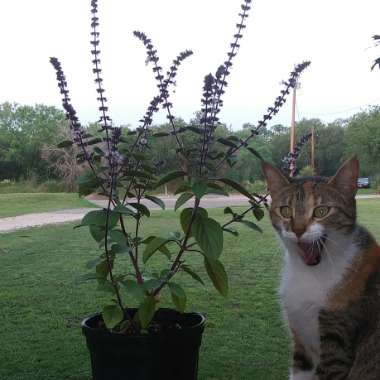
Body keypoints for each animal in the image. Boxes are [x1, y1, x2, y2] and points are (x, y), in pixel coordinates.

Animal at [262, 156, 380, 378]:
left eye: (321, 211)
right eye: (285, 210)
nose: (298, 230)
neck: (310, 274)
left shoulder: (337, 341)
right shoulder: (301, 343)